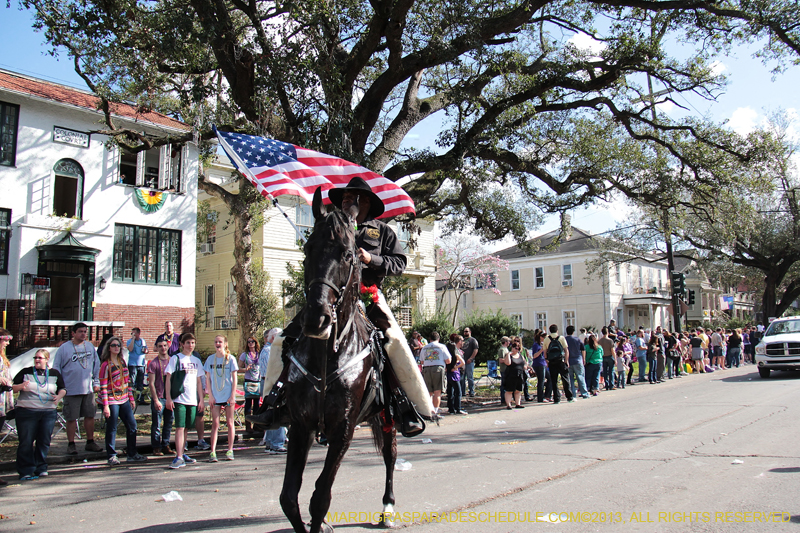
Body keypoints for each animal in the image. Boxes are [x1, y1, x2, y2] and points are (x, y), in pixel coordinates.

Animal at [278, 188, 396, 532]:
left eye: (347, 254)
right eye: (307, 249)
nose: (316, 320)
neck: (328, 355)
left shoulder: (343, 428)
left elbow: (320, 497)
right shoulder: (301, 425)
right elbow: (289, 497)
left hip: (388, 417)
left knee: (391, 455)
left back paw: (387, 508)